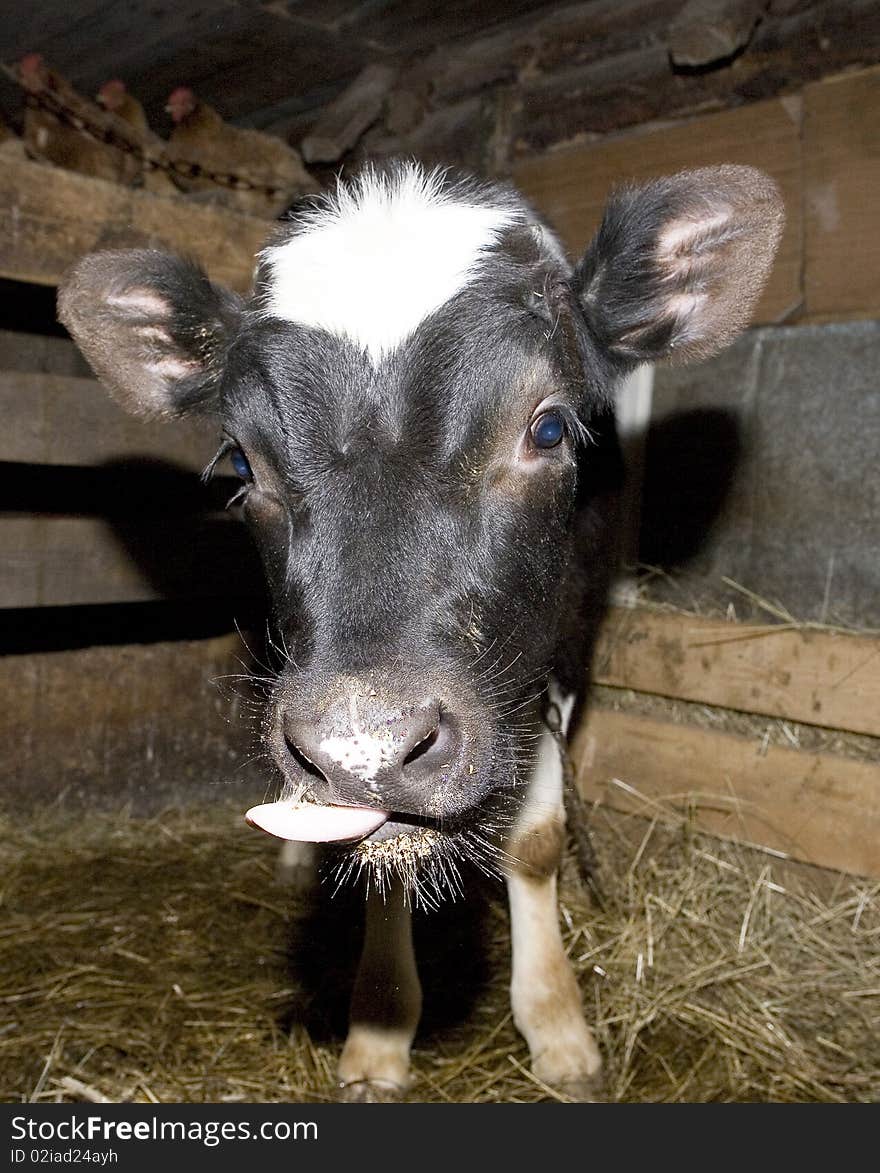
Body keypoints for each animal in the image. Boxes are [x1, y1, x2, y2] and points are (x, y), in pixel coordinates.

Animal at [58, 158, 783, 1097]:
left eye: (550, 426)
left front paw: (558, 1026)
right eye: (242, 463)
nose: (361, 747)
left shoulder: (564, 646)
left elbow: (538, 841)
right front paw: (378, 1032)